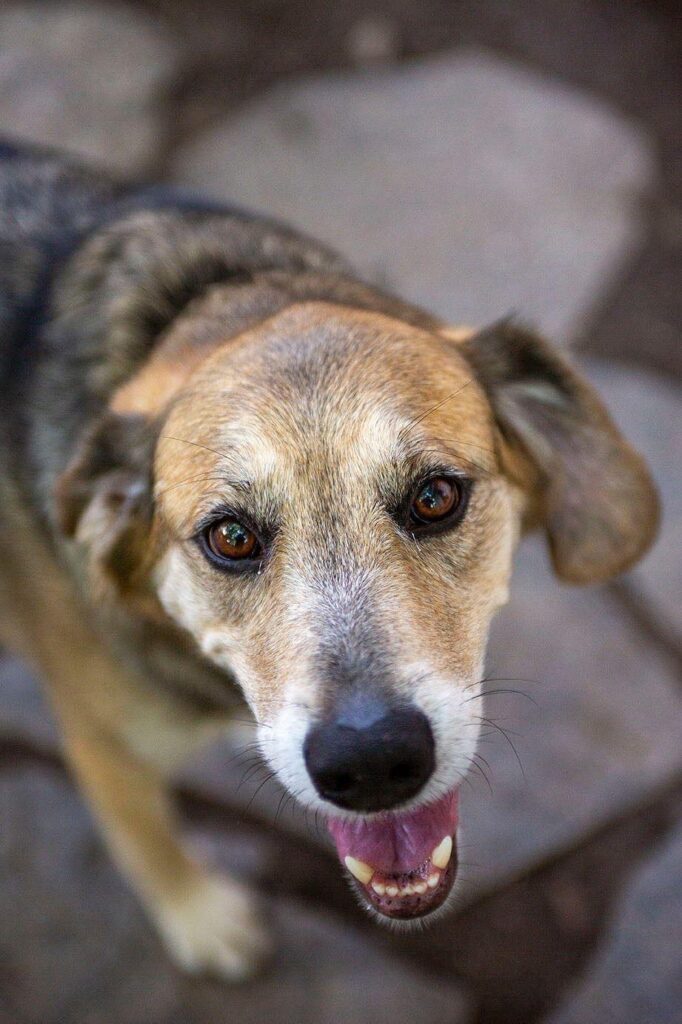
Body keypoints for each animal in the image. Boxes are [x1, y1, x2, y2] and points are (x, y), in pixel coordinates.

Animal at [0, 140, 659, 978]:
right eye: (230, 537)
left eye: (436, 497)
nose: (372, 761)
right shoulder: (101, 742)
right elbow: (146, 842)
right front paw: (203, 920)